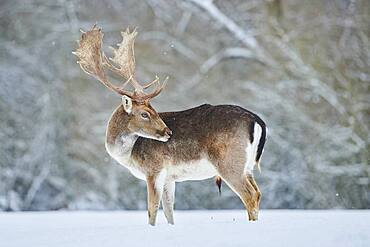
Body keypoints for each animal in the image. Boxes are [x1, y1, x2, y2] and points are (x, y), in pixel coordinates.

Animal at [73, 25, 268, 226]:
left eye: (152, 111)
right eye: (145, 113)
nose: (168, 132)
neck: (128, 155)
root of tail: (257, 121)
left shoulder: (154, 169)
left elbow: (152, 210)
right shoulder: (170, 178)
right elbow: (169, 212)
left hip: (229, 162)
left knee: (250, 195)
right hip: (248, 166)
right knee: (258, 192)